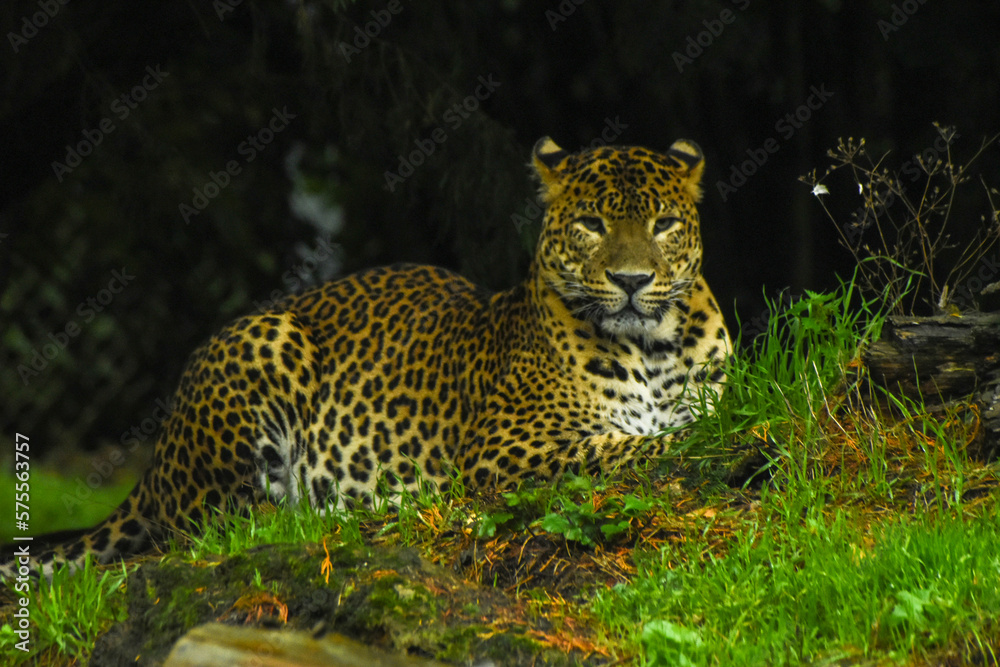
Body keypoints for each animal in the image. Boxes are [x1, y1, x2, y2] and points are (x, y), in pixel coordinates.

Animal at [2, 137, 731, 579]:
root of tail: (155, 465)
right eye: (591, 225)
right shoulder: (504, 450)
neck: (651, 346)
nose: (633, 280)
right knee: (220, 526)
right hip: (262, 349)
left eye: (665, 224)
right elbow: (628, 444)